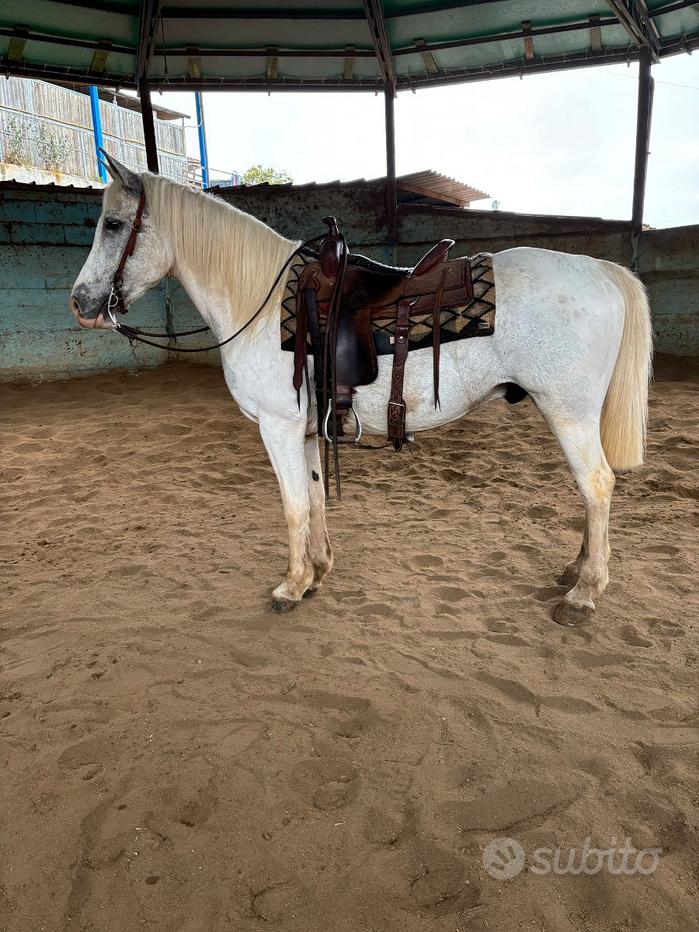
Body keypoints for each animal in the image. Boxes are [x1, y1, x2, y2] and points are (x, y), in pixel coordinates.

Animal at [70, 155, 652, 627]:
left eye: (114, 224)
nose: (81, 303)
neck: (261, 303)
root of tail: (600, 270)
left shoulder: (278, 427)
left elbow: (293, 506)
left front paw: (290, 586)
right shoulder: (306, 429)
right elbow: (314, 496)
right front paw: (317, 571)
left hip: (569, 413)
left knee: (597, 485)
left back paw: (584, 593)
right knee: (590, 492)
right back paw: (575, 569)